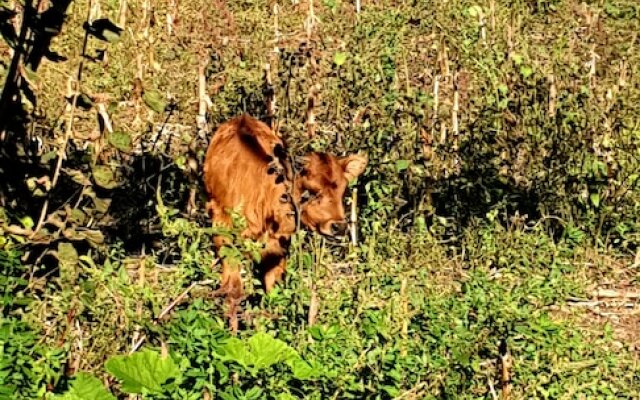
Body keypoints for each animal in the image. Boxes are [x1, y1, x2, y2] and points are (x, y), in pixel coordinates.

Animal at [202, 114, 368, 330]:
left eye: (342, 190)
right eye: (312, 191)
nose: (339, 226)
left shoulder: (279, 245)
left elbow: (274, 289)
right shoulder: (225, 234)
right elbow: (233, 289)